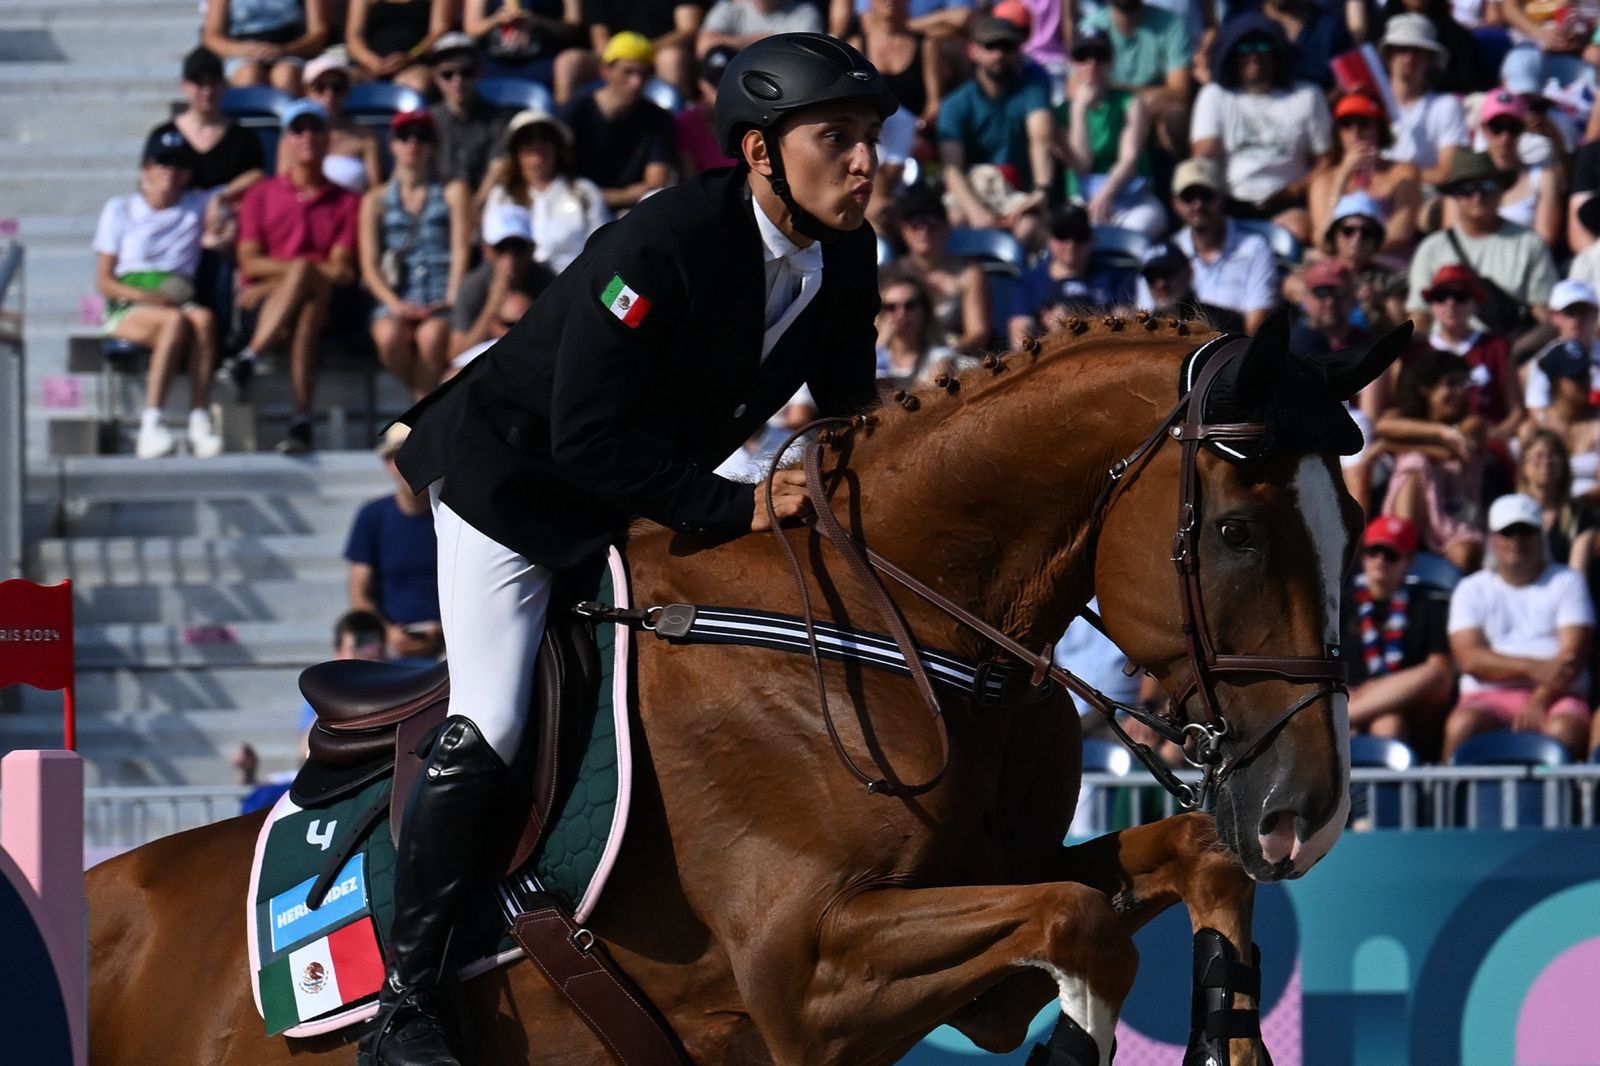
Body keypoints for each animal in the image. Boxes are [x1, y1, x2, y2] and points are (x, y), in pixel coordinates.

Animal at [90, 313, 1401, 1062]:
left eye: (1355, 532)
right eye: (1235, 533)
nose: (1311, 813)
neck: (900, 628)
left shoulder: (978, 897)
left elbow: (1188, 862)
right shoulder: (804, 973)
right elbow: (1077, 922)